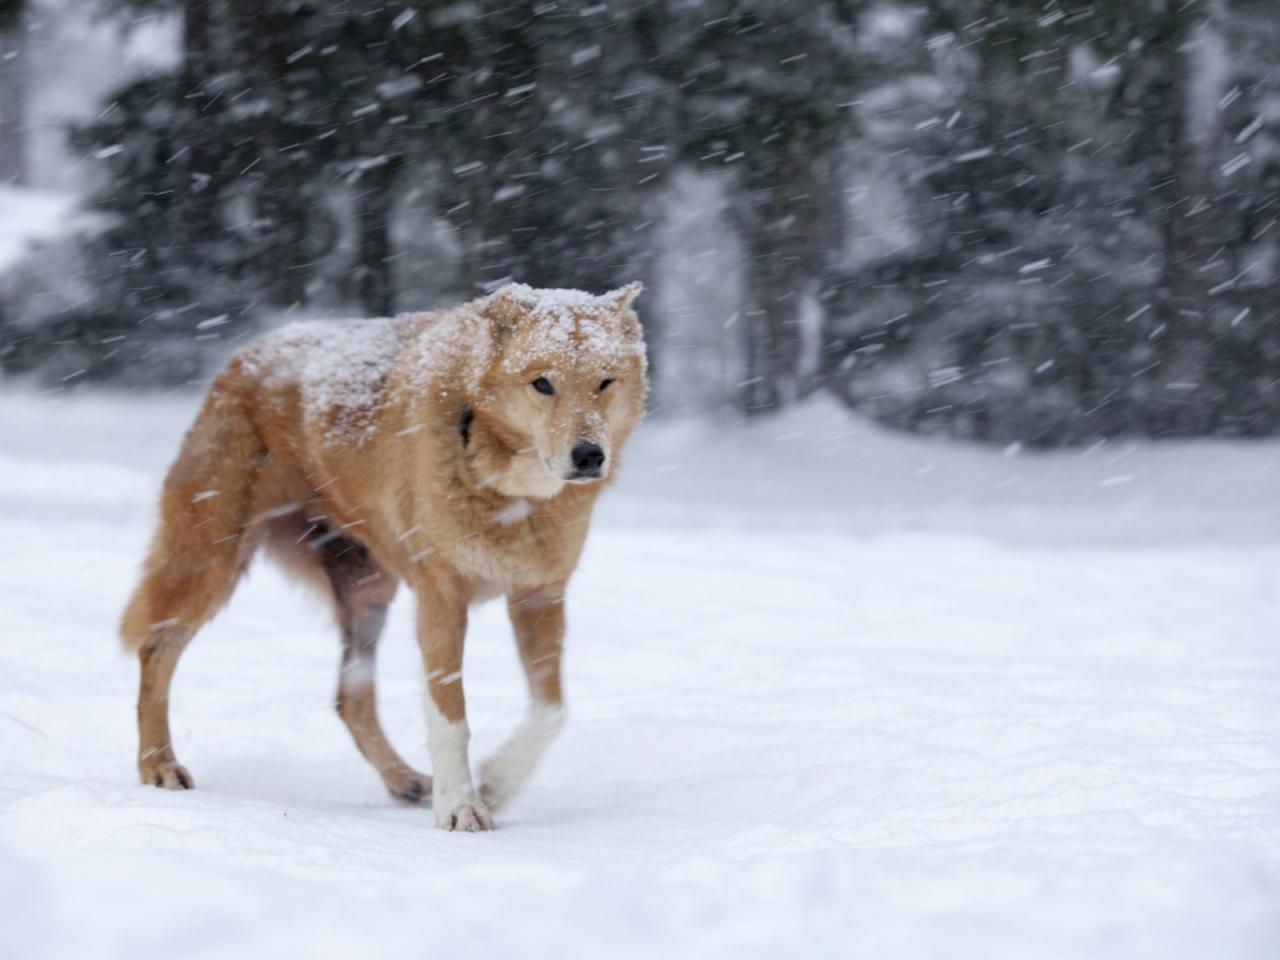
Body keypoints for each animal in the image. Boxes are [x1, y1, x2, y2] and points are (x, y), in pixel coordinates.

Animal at [120, 281, 650, 829]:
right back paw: (159, 766)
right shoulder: (441, 597)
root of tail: (245, 354)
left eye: (605, 382)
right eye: (542, 384)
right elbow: (451, 716)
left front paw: (495, 783)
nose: (589, 456)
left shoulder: (539, 595)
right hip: (210, 565)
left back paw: (405, 780)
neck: (507, 487)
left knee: (350, 699)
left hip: (368, 593)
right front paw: (460, 807)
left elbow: (551, 711)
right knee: (155, 651)